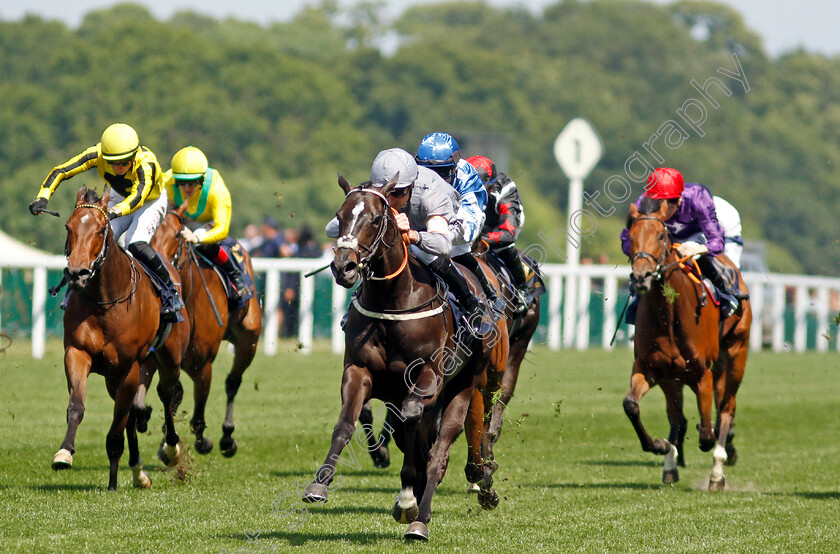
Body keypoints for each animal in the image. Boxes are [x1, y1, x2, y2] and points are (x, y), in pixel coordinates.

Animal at [55, 188, 188, 490]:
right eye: (68, 227)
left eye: (100, 230)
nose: (77, 272)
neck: (106, 301)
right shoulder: (78, 353)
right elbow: (76, 407)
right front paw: (64, 453)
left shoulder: (128, 366)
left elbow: (117, 427)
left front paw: (113, 482)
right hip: (115, 377)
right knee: (130, 413)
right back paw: (138, 471)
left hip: (168, 359)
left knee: (166, 394)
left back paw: (170, 449)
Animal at [624, 197, 748, 488]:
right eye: (630, 236)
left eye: (661, 235)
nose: (641, 276)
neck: (668, 316)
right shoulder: (652, 370)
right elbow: (632, 405)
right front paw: (660, 446)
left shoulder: (702, 374)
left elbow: (707, 433)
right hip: (675, 380)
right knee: (677, 417)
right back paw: (671, 464)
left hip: (736, 355)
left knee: (726, 409)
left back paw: (717, 474)